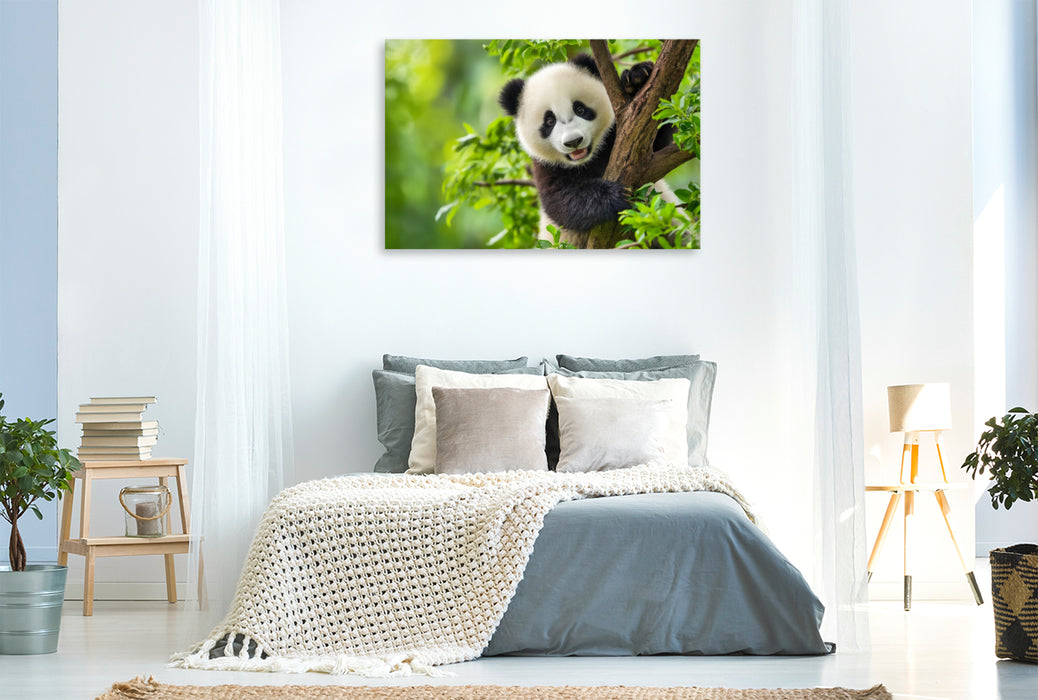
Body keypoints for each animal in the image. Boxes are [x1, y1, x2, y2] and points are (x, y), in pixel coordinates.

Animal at [498, 54, 671, 244]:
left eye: (580, 109)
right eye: (549, 121)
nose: (573, 141)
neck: (587, 162)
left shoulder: (618, 137)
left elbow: (657, 137)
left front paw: (637, 78)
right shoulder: (546, 168)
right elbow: (561, 201)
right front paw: (616, 196)